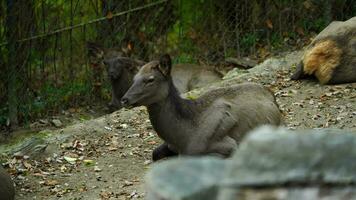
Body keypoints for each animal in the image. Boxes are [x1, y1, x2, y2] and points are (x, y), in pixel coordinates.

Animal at [121, 54, 282, 160]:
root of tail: (272, 96)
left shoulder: (228, 146)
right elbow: (155, 154)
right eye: (134, 79)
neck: (181, 136)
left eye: (150, 79)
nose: (124, 99)